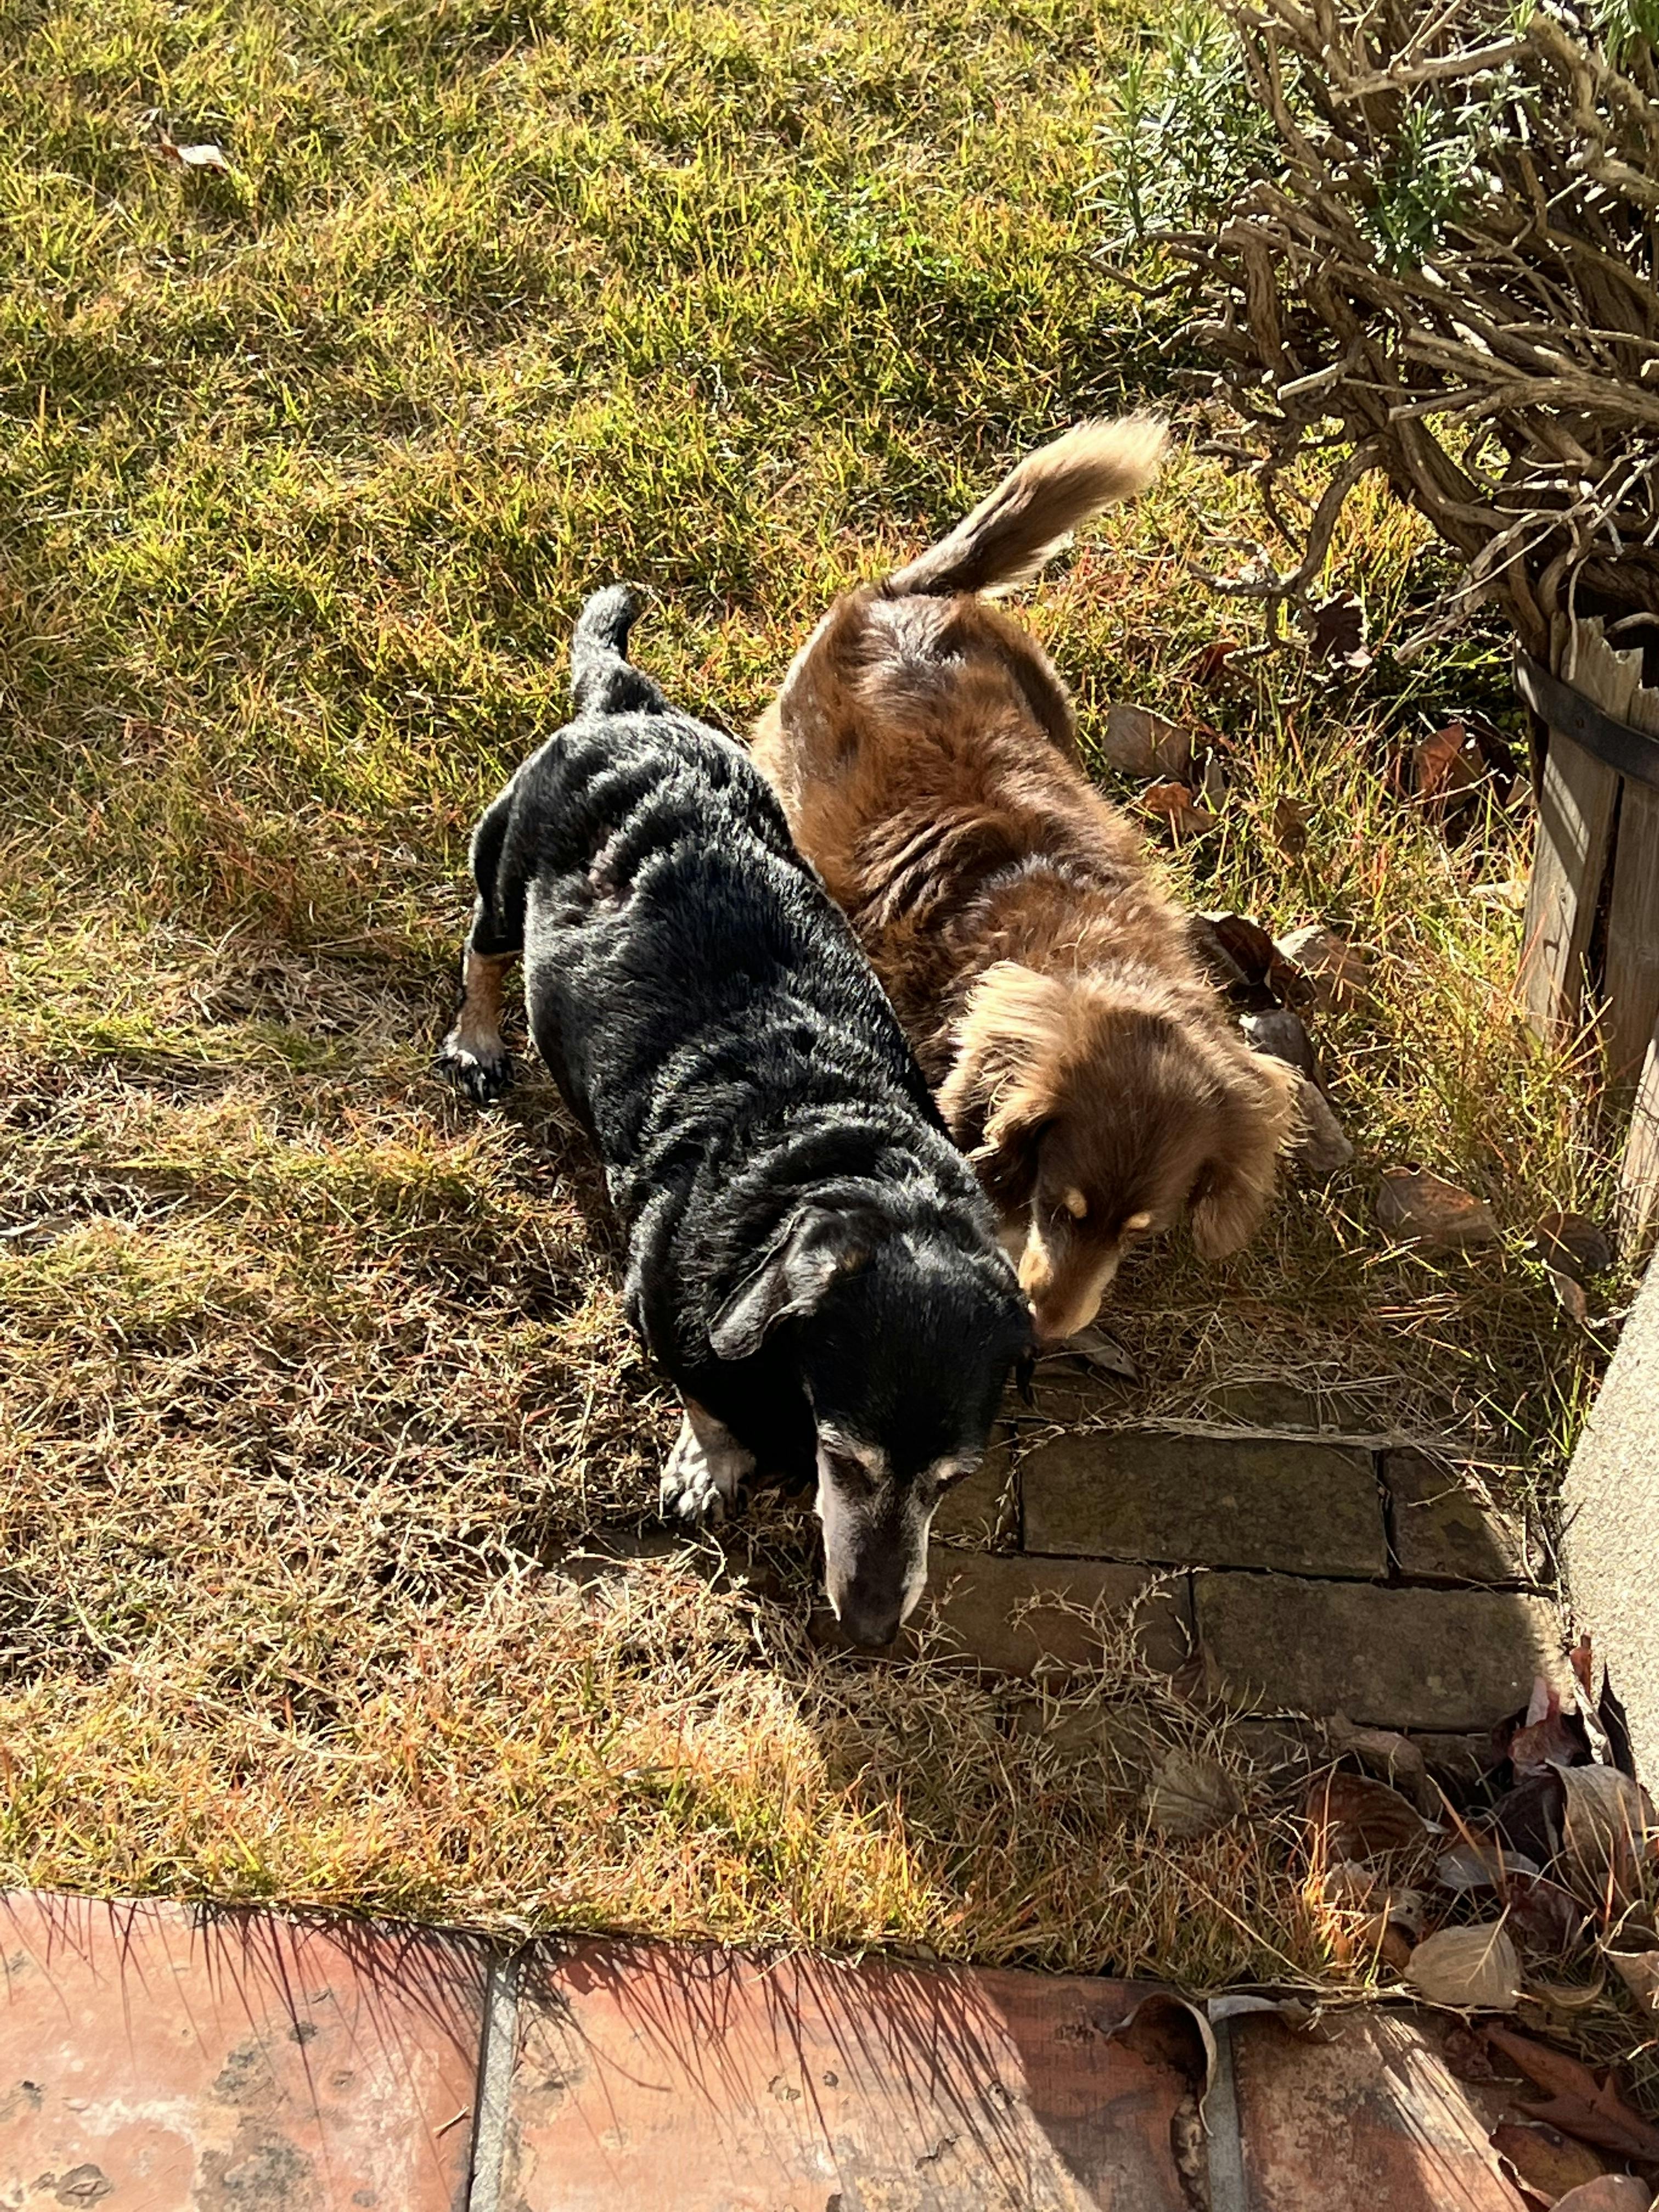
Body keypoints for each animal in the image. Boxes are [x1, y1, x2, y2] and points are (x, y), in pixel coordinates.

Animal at [437, 587, 1031, 1647]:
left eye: (948, 1482)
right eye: (844, 1460)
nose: (872, 1630)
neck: (836, 1156)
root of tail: (622, 705)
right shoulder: (662, 1315)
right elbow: (704, 1402)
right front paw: (703, 1464)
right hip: (502, 870)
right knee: (482, 948)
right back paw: (475, 1037)